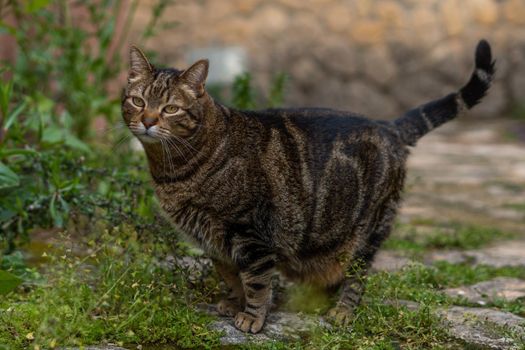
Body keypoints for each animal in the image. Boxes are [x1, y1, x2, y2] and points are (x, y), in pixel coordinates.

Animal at [121, 40, 494, 334]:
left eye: (170, 108)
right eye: (138, 102)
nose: (148, 120)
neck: (176, 171)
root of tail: (387, 125)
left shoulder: (251, 234)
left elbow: (256, 282)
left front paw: (252, 317)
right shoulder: (215, 241)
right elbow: (230, 275)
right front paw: (233, 302)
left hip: (368, 232)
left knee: (357, 278)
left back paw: (342, 312)